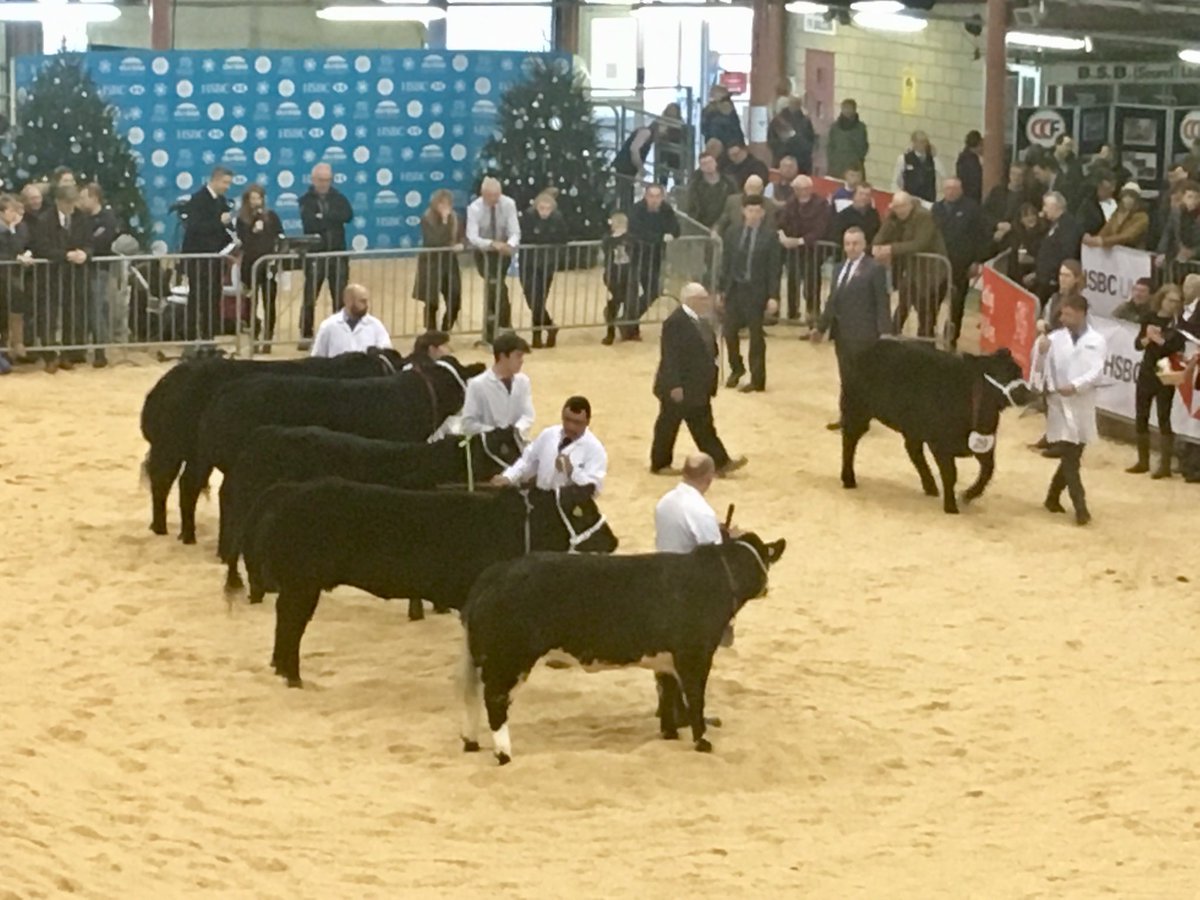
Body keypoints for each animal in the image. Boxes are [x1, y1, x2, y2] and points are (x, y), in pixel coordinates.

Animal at [140, 349, 405, 537]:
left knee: (180, 484)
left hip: (191, 454)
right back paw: (169, 530)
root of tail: (165, 384)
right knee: (168, 482)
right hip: (173, 449)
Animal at [250, 478, 619, 687]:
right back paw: (292, 675)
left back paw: (281, 669)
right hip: (302, 585)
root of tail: (288, 492)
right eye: (582, 511)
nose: (613, 540)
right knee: (292, 624)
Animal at [458, 534, 786, 765]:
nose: (767, 587)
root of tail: (498, 572)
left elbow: (667, 694)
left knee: (474, 697)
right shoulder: (695, 655)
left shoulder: (665, 660)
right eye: (766, 557)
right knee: (495, 701)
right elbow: (695, 699)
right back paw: (504, 754)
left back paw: (471, 741)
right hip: (509, 658)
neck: (715, 578)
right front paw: (702, 742)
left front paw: (669, 735)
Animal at [840, 341, 1032, 514]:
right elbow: (951, 473)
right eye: (1001, 374)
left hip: (913, 427)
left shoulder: (984, 445)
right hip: (857, 409)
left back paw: (930, 486)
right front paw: (951, 506)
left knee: (913, 450)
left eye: (1019, 371)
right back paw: (848, 479)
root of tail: (867, 350)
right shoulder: (941, 445)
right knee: (849, 441)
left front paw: (968, 495)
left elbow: (988, 471)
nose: (1030, 393)